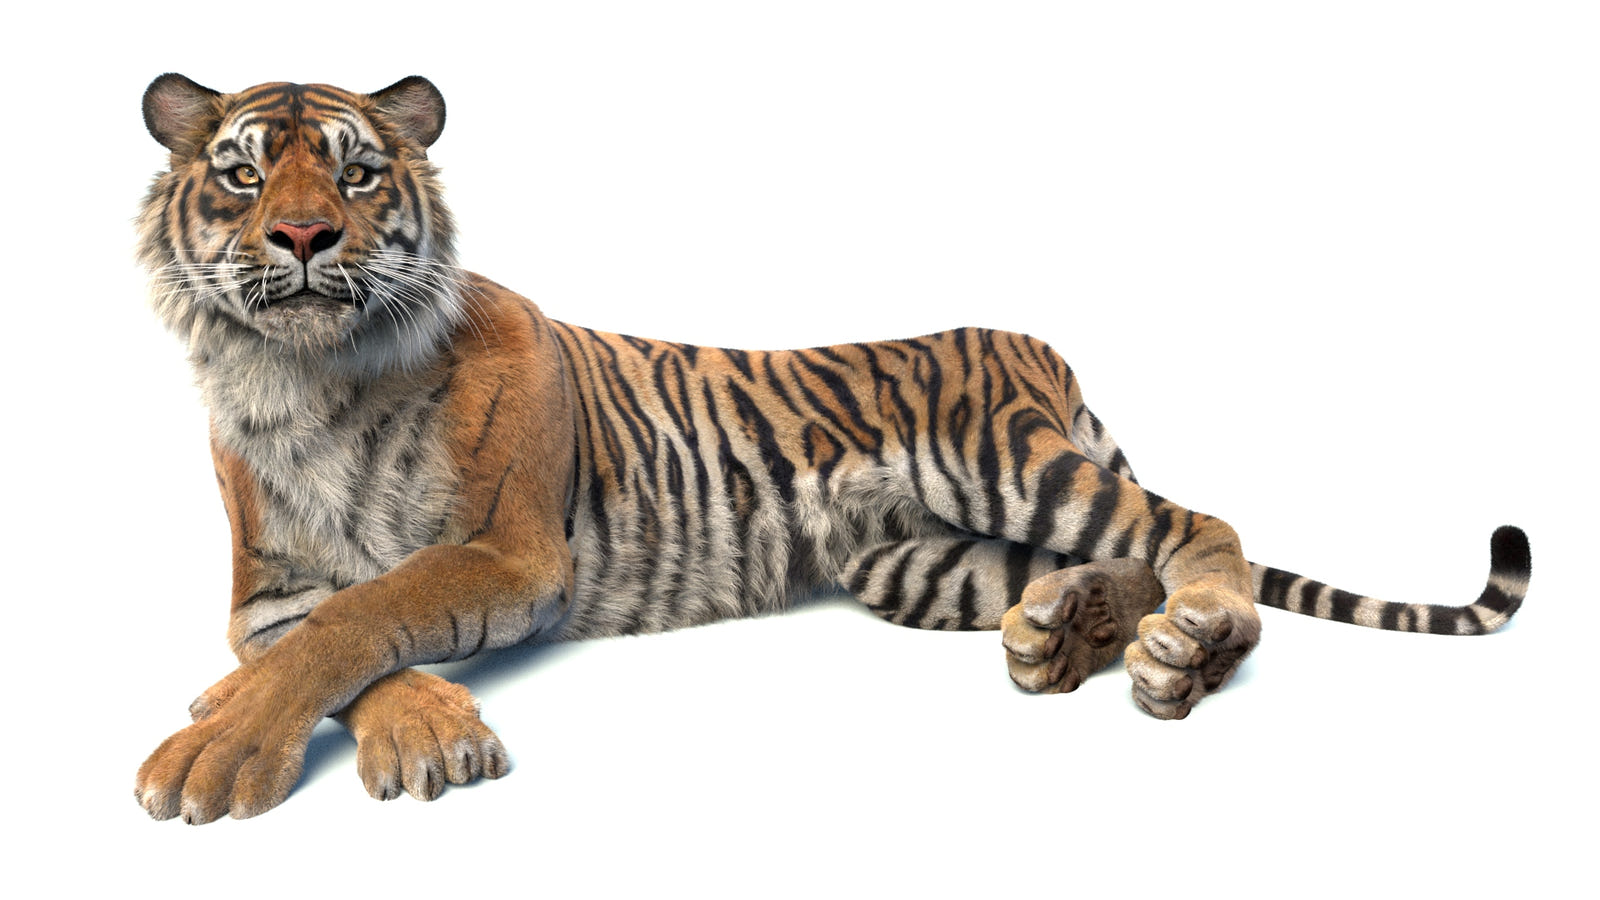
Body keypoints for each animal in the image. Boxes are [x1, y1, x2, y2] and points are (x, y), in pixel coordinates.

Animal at [133, 74, 1532, 824]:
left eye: (359, 175)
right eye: (245, 175)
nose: (304, 236)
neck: (311, 381)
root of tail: (1038, 351)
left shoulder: (511, 549)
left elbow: (370, 614)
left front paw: (211, 756)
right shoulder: (268, 593)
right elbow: (329, 637)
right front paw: (392, 733)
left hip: (1008, 459)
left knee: (1203, 530)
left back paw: (1185, 652)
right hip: (914, 558)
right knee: (1106, 566)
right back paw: (1062, 634)